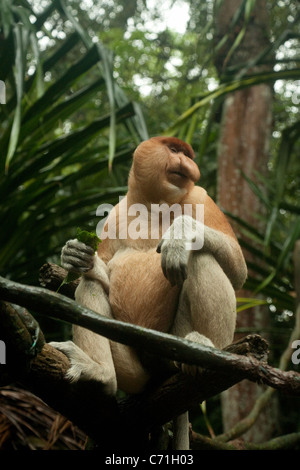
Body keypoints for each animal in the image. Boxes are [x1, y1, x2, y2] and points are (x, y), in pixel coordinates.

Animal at [51, 138, 247, 446]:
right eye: (175, 151)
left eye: (187, 154)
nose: (189, 165)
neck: (153, 205)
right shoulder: (115, 214)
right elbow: (102, 268)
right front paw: (76, 255)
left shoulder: (201, 198)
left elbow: (238, 269)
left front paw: (179, 236)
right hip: (134, 370)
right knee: (90, 285)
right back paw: (100, 373)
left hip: (174, 343)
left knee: (201, 256)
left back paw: (206, 348)